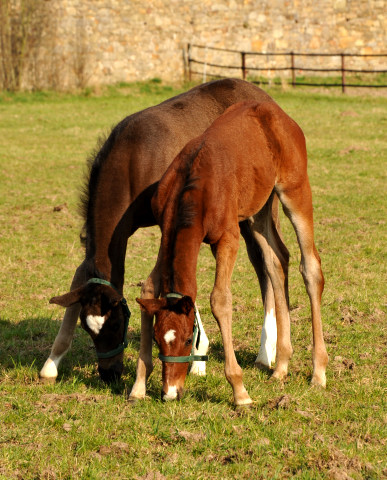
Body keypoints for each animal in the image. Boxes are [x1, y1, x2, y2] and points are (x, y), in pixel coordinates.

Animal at [40, 77, 288, 388]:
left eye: (117, 323)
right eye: (88, 329)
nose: (109, 374)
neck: (133, 161)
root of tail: (263, 97)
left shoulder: (172, 221)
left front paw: (198, 353)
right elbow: (79, 277)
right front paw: (51, 364)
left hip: (259, 207)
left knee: (267, 261)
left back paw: (266, 352)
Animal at [138, 100, 328, 404]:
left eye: (187, 339)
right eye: (157, 339)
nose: (170, 393)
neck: (192, 187)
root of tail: (278, 113)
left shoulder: (228, 238)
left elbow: (220, 299)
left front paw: (240, 392)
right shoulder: (165, 232)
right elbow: (148, 287)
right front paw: (138, 387)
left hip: (294, 189)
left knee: (310, 267)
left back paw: (318, 372)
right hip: (258, 210)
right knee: (276, 261)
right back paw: (281, 368)